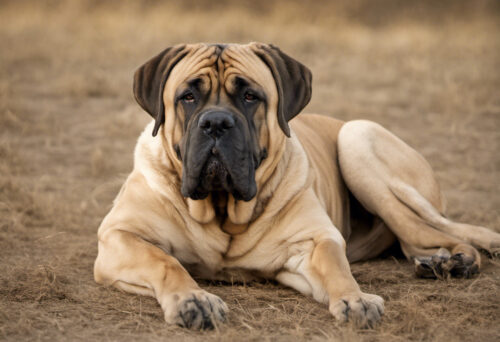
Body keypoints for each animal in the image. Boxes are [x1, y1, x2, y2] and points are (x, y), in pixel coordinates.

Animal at [94, 42, 500, 328]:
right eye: (188, 97)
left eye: (250, 96)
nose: (216, 123)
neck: (223, 209)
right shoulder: (119, 236)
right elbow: (165, 262)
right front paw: (193, 300)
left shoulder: (313, 242)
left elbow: (336, 267)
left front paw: (356, 299)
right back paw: (441, 262)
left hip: (357, 139)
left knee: (436, 232)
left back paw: (454, 262)